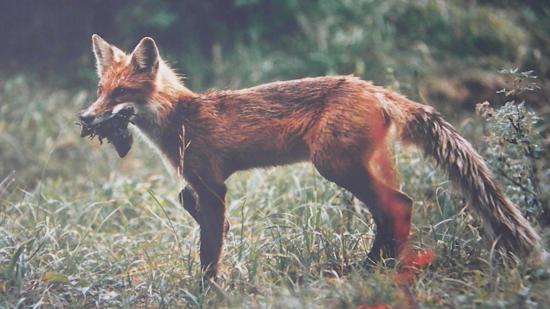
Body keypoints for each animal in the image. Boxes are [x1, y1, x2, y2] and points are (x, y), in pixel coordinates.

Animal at [80, 35, 544, 276]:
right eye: (101, 90)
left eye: (121, 93)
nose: (85, 117)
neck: (180, 120)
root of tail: (374, 88)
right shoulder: (199, 187)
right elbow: (194, 210)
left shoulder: (212, 187)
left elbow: (209, 249)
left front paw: (208, 290)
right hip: (362, 167)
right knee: (395, 210)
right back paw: (375, 267)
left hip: (334, 166)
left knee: (398, 206)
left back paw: (372, 270)